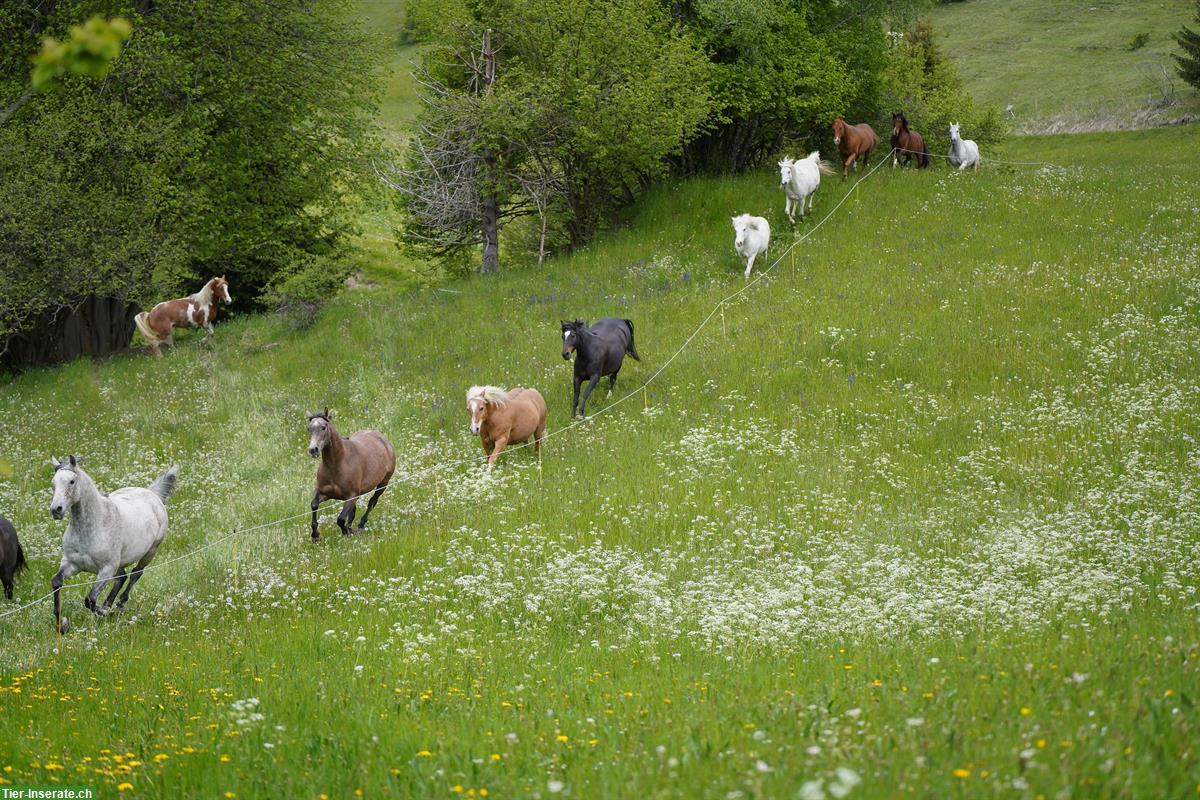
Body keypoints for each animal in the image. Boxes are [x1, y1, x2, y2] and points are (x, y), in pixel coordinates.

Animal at [48, 455, 176, 633]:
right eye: (53, 483)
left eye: (72, 481)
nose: (56, 510)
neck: (94, 526)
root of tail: (152, 494)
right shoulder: (72, 564)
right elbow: (57, 582)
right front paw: (62, 625)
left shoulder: (106, 569)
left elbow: (90, 599)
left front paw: (102, 612)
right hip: (120, 562)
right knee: (122, 577)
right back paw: (109, 604)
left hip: (150, 552)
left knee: (135, 573)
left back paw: (119, 603)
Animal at [304, 407, 393, 544]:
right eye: (309, 429)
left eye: (323, 427)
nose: (313, 450)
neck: (337, 465)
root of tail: (382, 438)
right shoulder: (324, 493)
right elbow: (314, 505)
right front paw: (315, 535)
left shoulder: (351, 496)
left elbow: (340, 519)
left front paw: (346, 532)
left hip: (383, 484)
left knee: (372, 502)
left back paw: (360, 526)